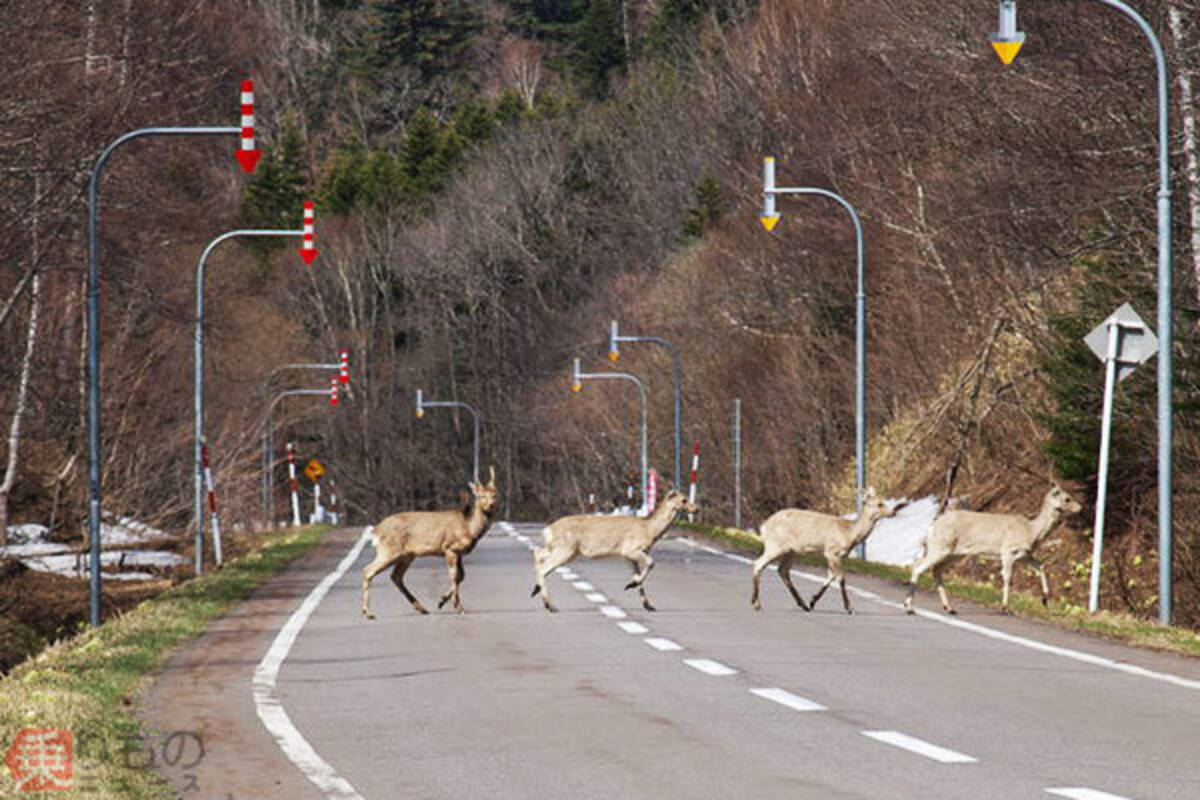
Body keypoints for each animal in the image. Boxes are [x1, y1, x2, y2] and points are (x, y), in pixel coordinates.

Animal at [362, 470, 499, 618]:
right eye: (480, 496)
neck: (469, 528)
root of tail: (376, 530)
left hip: (406, 556)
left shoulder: (460, 553)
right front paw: (457, 607)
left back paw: (421, 608)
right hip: (389, 551)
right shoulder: (449, 548)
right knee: (368, 570)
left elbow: (461, 576)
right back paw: (367, 612)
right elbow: (454, 575)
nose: (491, 505)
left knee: (396, 576)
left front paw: (442, 600)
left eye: (495, 494)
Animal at [530, 489, 700, 614]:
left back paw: (536, 591)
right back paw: (550, 606)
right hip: (566, 549)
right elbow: (651, 563)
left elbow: (638, 575)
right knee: (543, 566)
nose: (697, 509)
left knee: (538, 553)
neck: (649, 530)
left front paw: (648, 604)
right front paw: (630, 585)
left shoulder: (628, 557)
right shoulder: (630, 550)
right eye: (684, 500)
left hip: (561, 549)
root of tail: (548, 530)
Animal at [748, 489, 902, 614]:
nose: (894, 512)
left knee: (782, 570)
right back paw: (756, 603)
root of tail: (764, 526)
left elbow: (830, 577)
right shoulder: (831, 551)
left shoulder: (834, 555)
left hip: (791, 551)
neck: (849, 533)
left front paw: (812, 601)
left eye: (884, 501)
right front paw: (849, 608)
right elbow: (841, 578)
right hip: (775, 545)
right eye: (879, 504)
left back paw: (803, 604)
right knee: (759, 564)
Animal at [902, 482, 1084, 618]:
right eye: (1067, 498)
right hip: (940, 546)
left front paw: (1045, 599)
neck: (1031, 531)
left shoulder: (1024, 554)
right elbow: (1007, 578)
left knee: (935, 570)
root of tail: (932, 526)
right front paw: (1005, 607)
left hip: (954, 553)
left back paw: (949, 608)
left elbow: (1041, 565)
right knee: (918, 566)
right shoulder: (1008, 551)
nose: (1080, 508)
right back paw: (909, 607)